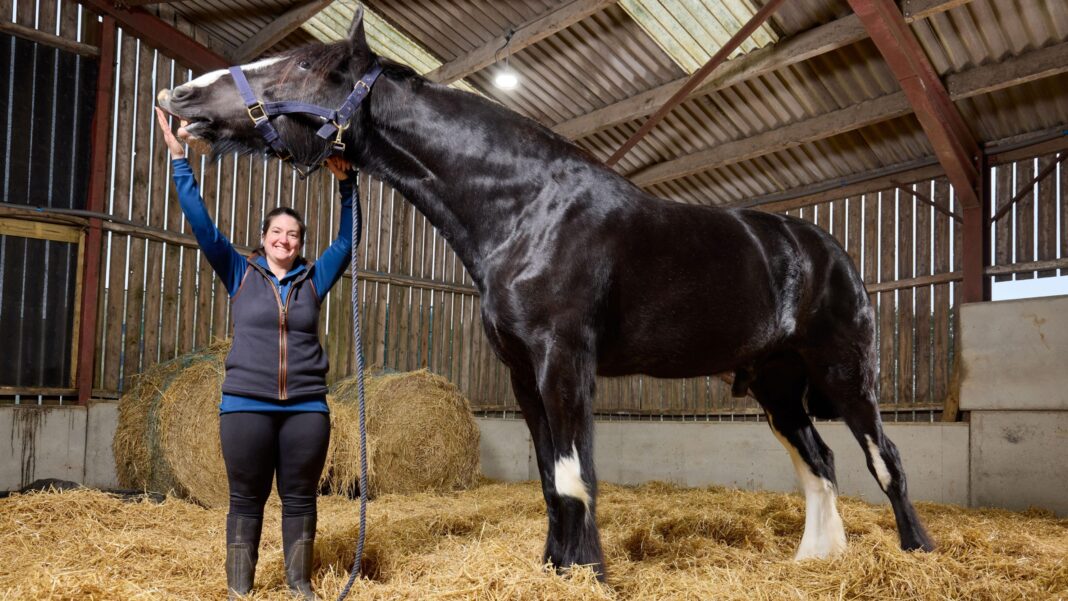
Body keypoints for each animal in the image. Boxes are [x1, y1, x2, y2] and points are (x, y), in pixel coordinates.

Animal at [156, 7, 934, 579]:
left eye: (301, 66)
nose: (179, 96)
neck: (527, 208)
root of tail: (827, 250)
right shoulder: (522, 371)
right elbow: (548, 475)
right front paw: (558, 566)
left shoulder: (566, 360)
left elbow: (574, 472)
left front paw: (589, 571)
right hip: (776, 387)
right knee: (820, 463)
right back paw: (816, 559)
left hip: (846, 375)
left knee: (885, 459)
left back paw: (916, 551)